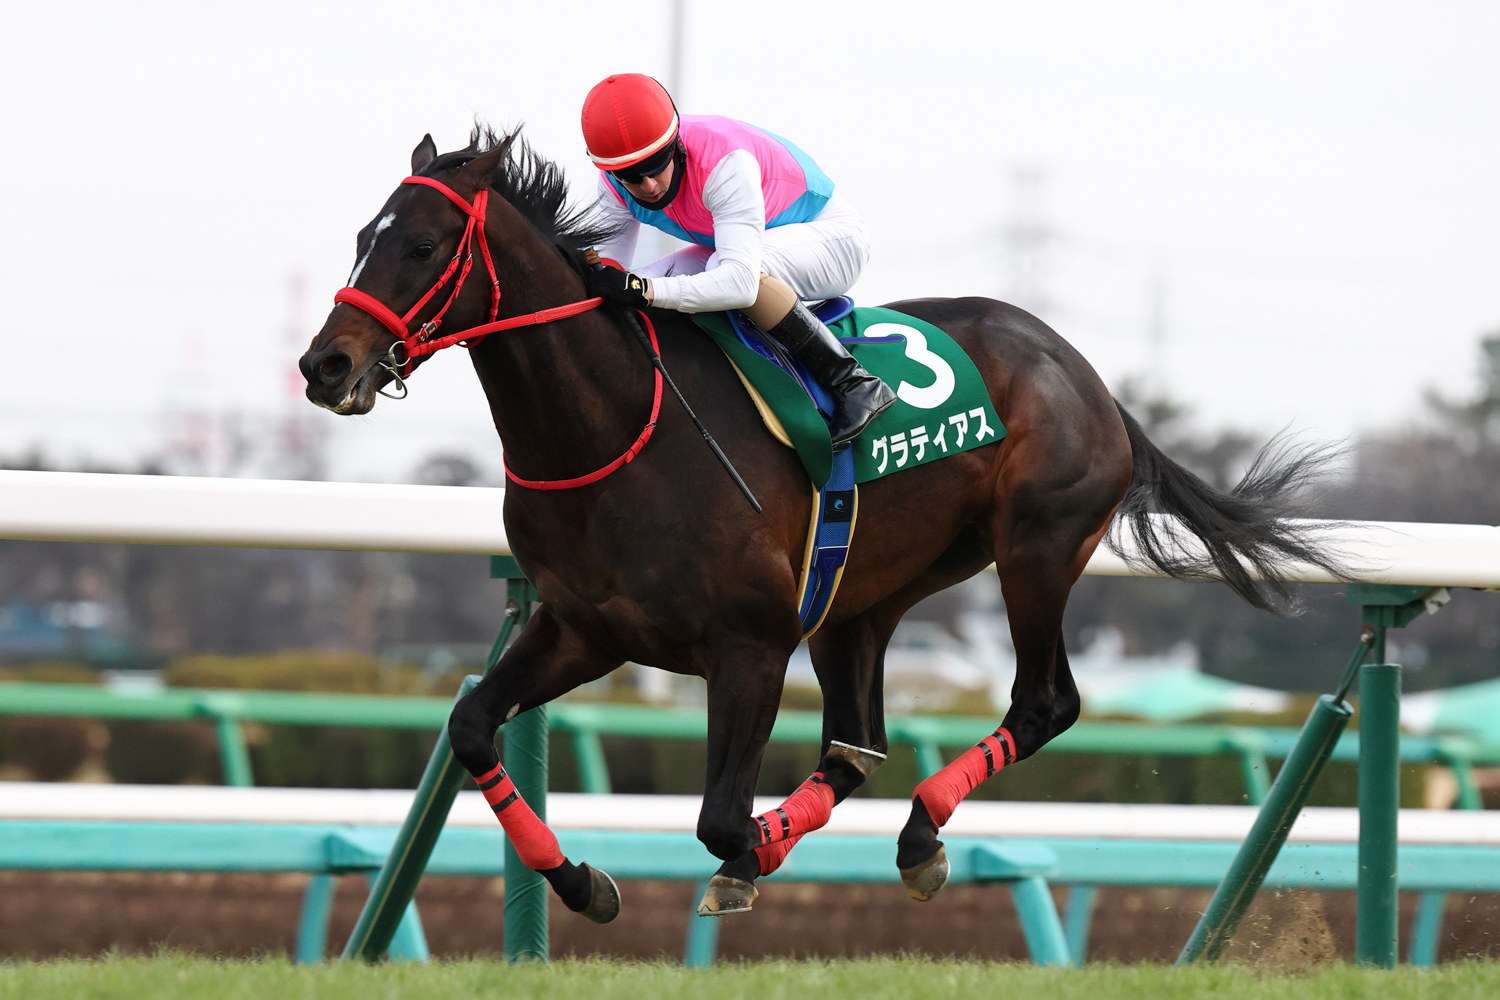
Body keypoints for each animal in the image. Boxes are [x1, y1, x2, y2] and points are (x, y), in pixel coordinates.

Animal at [300, 125, 1339, 923]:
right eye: (359, 236)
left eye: (422, 246)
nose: (325, 364)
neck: (617, 426)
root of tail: (1089, 376)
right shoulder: (583, 630)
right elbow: (473, 726)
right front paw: (585, 883)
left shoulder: (750, 645)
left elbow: (721, 818)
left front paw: (747, 859)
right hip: (865, 598)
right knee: (858, 743)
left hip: (1036, 549)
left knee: (1043, 703)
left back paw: (920, 834)